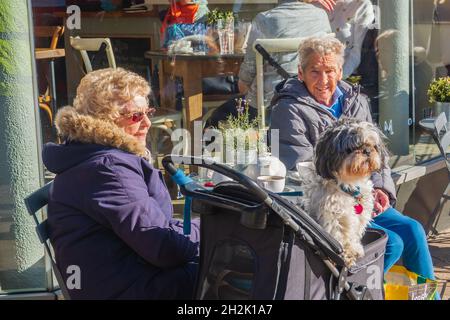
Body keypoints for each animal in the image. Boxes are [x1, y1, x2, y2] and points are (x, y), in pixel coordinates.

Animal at [298, 119, 388, 266]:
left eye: (372, 145)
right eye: (351, 148)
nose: (367, 150)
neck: (350, 185)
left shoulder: (361, 216)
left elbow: (355, 233)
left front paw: (355, 247)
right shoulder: (332, 215)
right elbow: (339, 235)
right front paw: (347, 253)